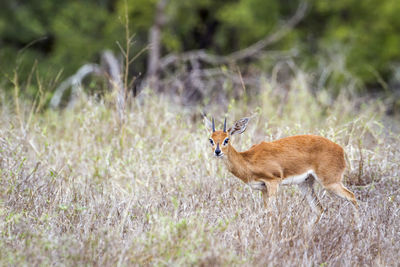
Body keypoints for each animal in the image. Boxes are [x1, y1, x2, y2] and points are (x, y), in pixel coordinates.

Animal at [205, 116, 358, 221]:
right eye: (211, 140)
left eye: (226, 139)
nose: (217, 152)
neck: (247, 160)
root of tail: (341, 149)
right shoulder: (263, 189)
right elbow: (267, 211)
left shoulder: (273, 182)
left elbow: (271, 212)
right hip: (305, 184)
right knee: (319, 209)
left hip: (330, 183)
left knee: (352, 197)